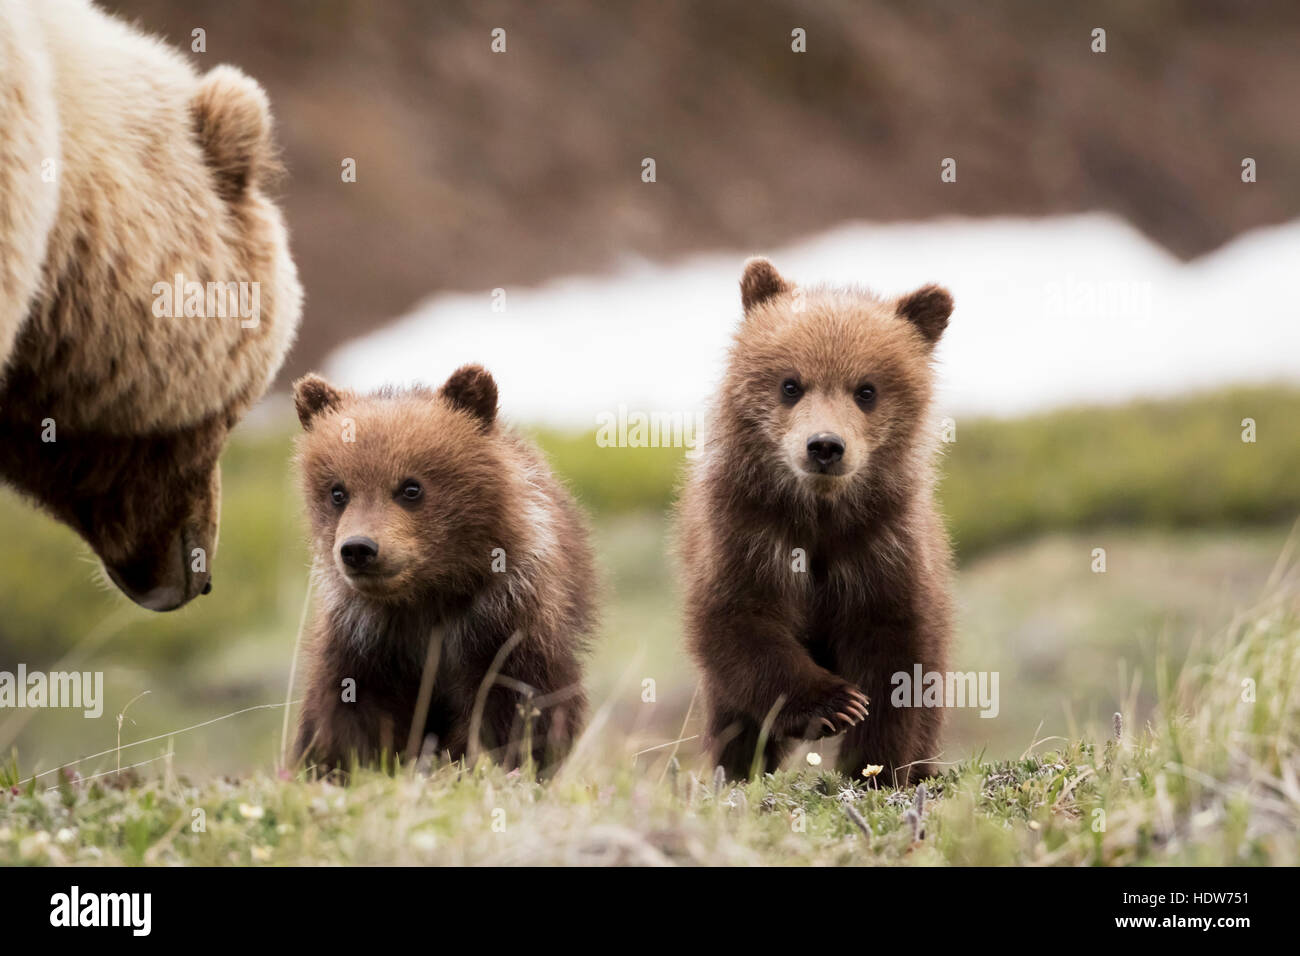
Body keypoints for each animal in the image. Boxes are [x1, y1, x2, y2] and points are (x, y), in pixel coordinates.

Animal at [291, 365, 597, 774]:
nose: (358, 549)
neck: (428, 596)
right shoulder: (365, 639)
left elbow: (518, 702)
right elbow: (350, 712)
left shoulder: (502, 620)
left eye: (411, 487)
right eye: (337, 492)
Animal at [677, 257, 954, 786]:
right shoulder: (748, 537)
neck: (820, 517)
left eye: (867, 390)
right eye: (790, 384)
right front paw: (834, 704)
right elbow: (743, 624)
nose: (825, 445)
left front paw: (876, 765)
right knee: (733, 719)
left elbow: (896, 664)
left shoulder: (883, 550)